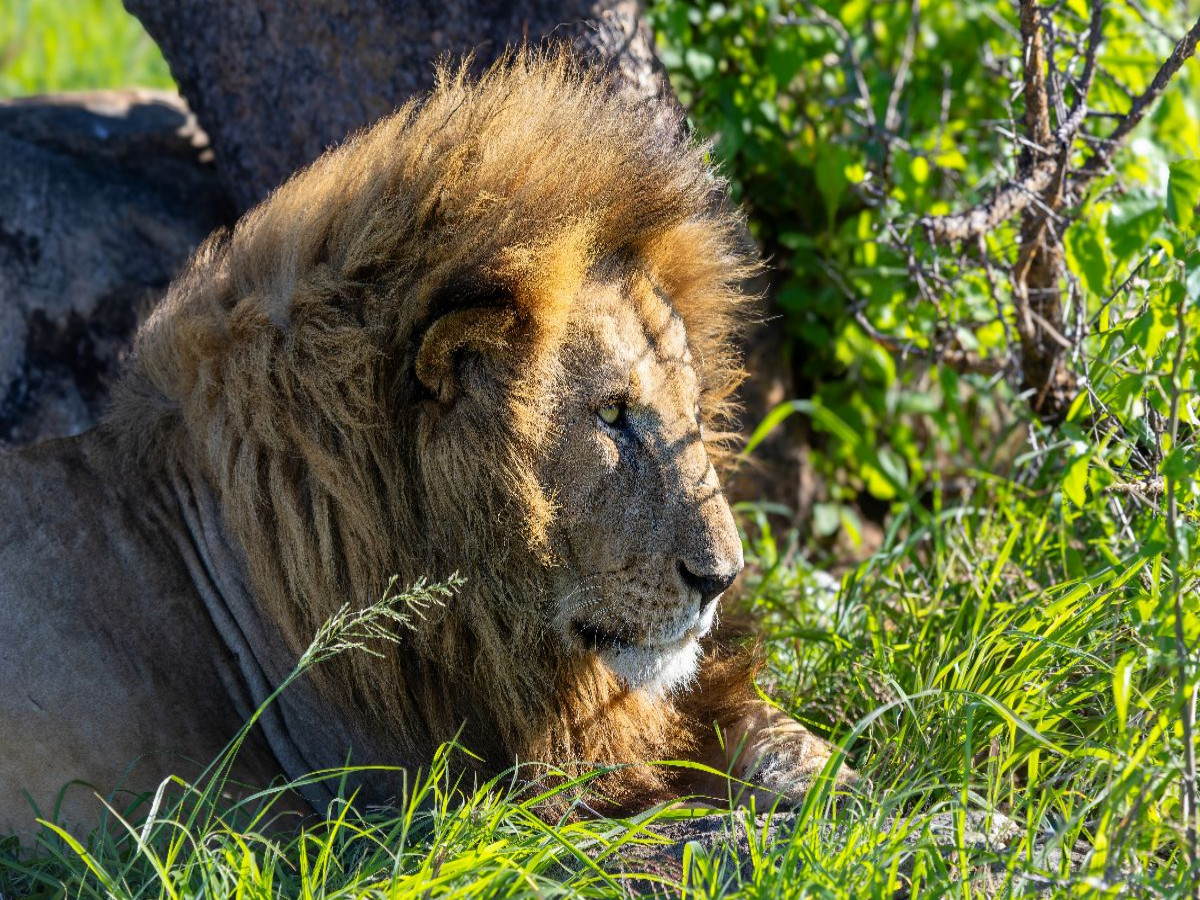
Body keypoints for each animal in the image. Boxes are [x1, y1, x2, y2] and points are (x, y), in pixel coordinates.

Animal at [0, 51, 848, 835]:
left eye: (692, 411)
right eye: (612, 415)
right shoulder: (439, 794)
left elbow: (774, 732)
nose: (723, 580)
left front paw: (848, 790)